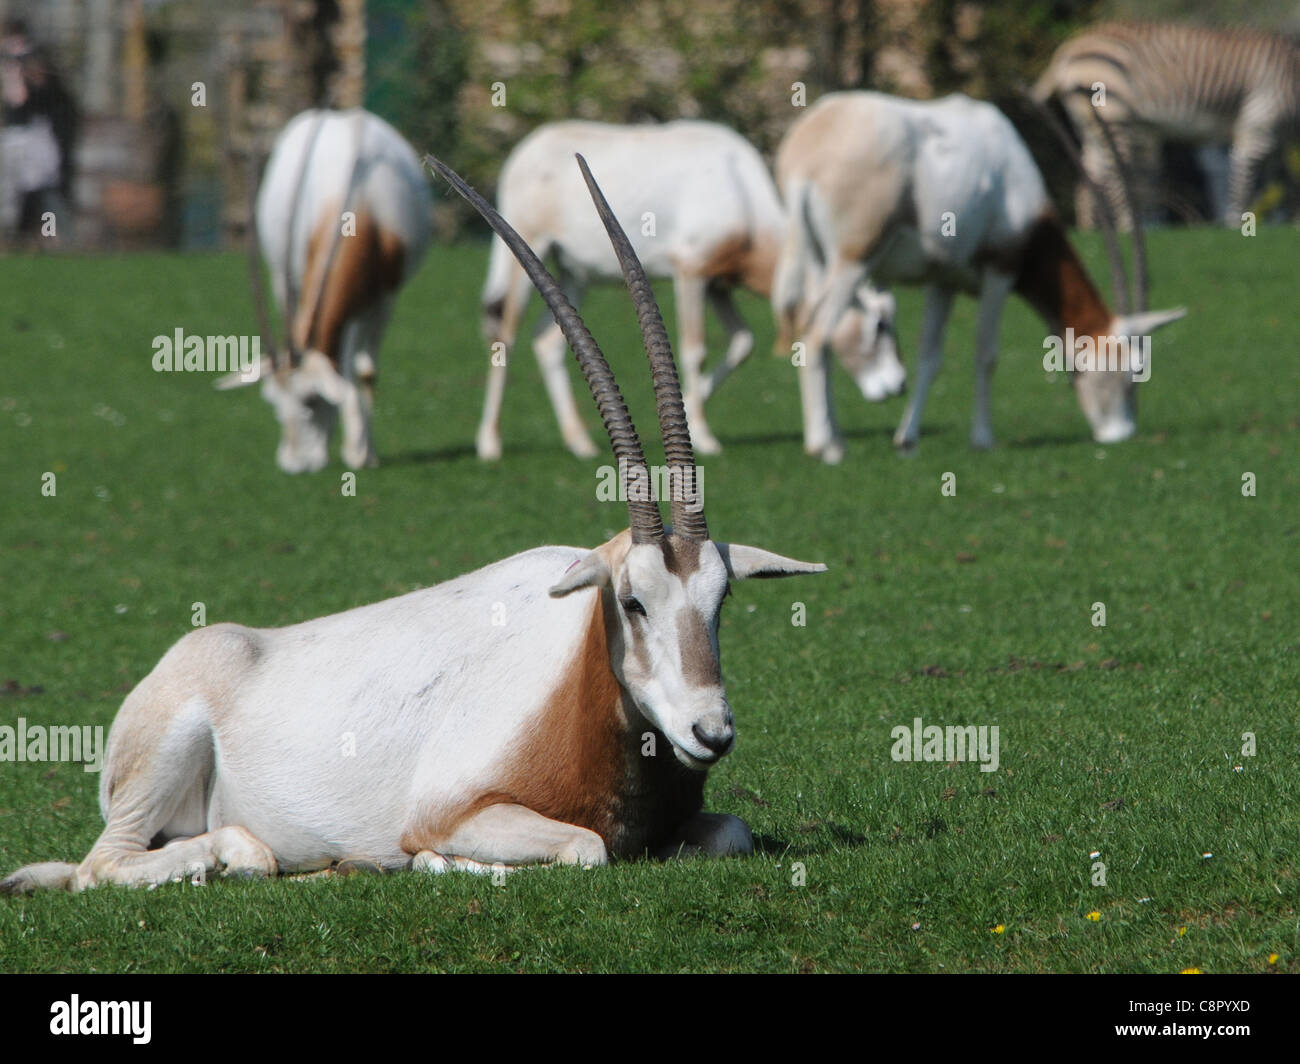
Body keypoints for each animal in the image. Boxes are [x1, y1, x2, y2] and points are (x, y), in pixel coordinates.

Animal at [1034, 20, 1300, 226]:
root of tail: (1067, 49)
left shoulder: (1277, 138)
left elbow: (1283, 180)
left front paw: (1289, 222)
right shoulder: (1260, 121)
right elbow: (1246, 177)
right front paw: (1239, 222)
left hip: (1090, 124)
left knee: (1089, 176)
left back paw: (1091, 232)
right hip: (1114, 116)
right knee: (1116, 175)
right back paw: (1128, 226)